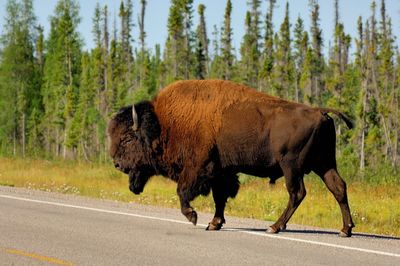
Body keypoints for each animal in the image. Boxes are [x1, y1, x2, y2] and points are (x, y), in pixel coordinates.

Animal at [108, 79, 354, 237]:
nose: (117, 164)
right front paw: (214, 223)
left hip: (291, 166)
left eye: (127, 139)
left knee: (297, 193)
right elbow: (220, 197)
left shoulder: (198, 168)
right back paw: (346, 230)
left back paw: (274, 227)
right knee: (338, 187)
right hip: (324, 164)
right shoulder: (221, 172)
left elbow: (183, 192)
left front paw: (193, 216)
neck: (163, 125)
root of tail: (319, 111)